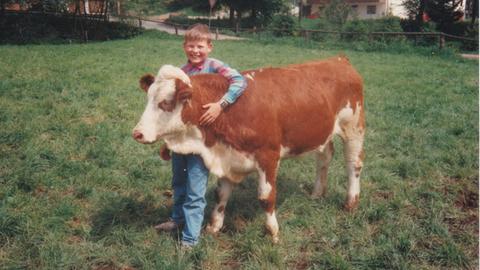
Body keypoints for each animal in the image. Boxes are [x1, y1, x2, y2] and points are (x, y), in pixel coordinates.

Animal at [131, 56, 364, 243]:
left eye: (166, 102)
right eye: (148, 98)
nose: (137, 133)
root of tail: (339, 60)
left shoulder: (268, 156)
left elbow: (266, 197)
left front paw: (272, 232)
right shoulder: (227, 157)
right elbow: (221, 194)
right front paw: (214, 226)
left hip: (354, 127)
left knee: (354, 164)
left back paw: (351, 203)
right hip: (322, 133)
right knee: (324, 157)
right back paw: (316, 194)